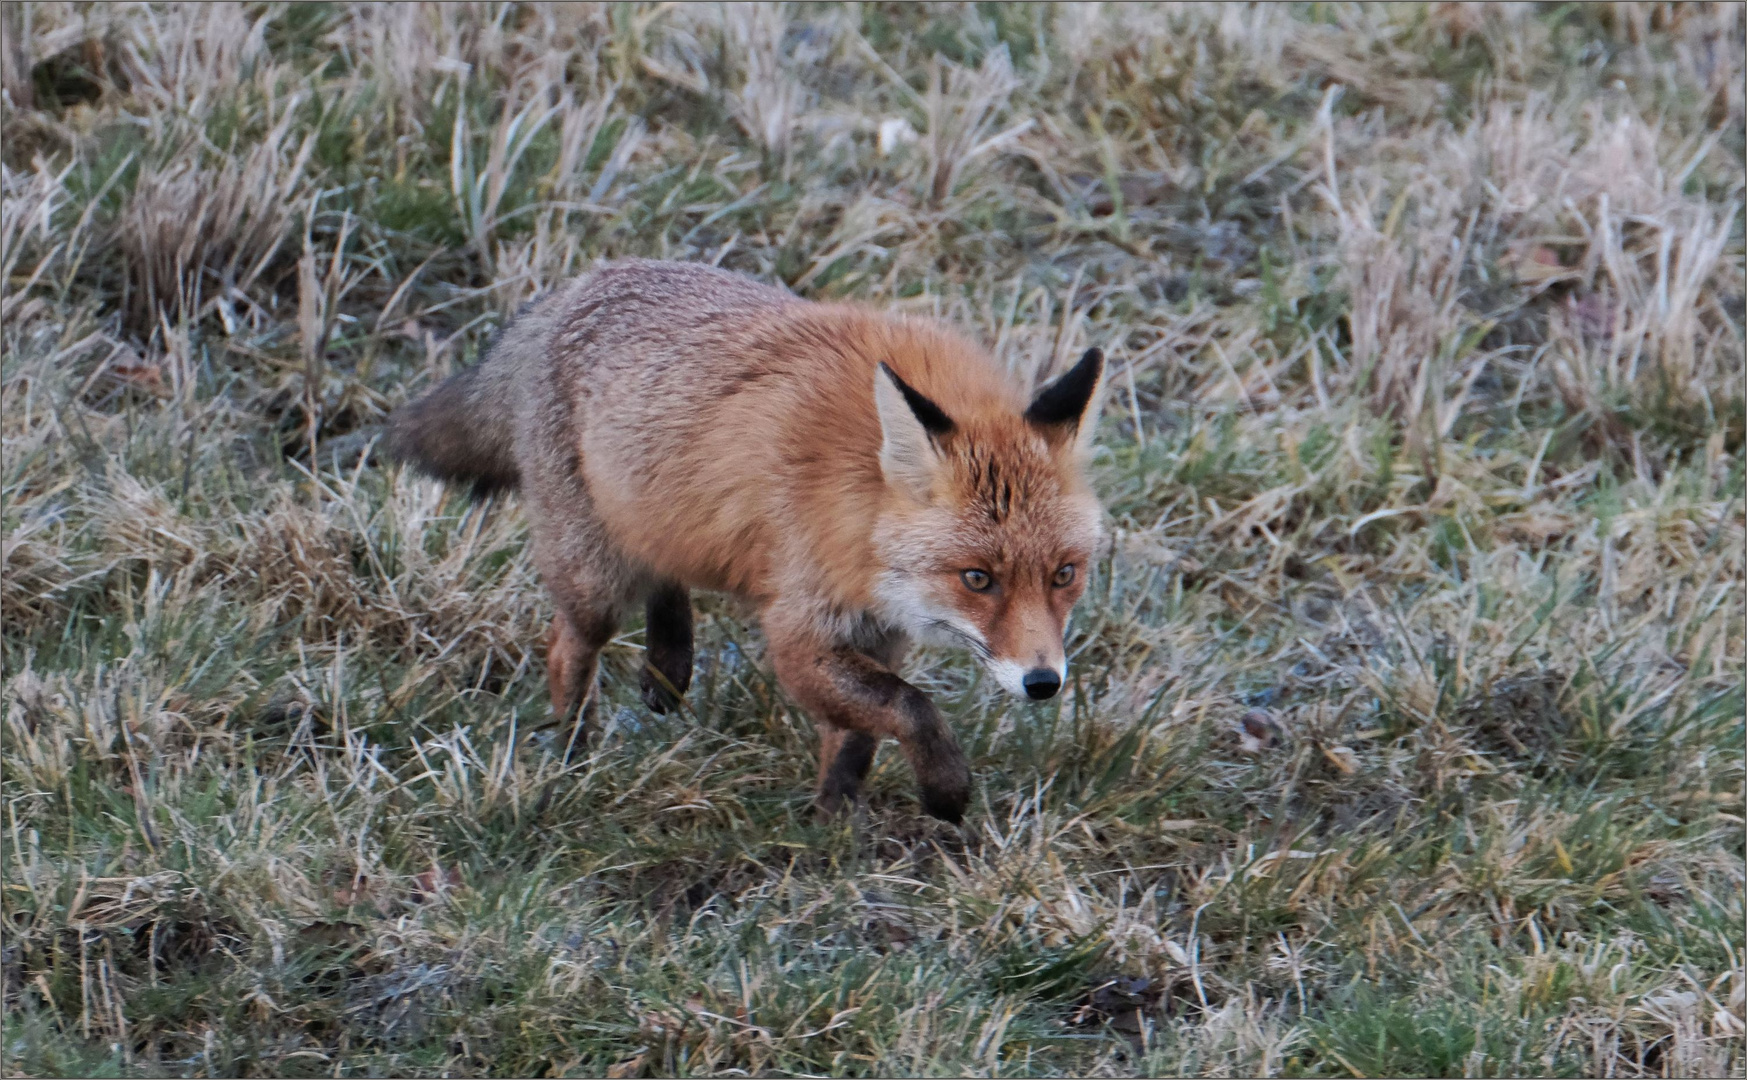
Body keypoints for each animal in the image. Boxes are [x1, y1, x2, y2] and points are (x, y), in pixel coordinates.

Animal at [393, 258, 1104, 814]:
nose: (1044, 683)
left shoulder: (881, 630)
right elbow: (911, 707)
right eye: (978, 578)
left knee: (664, 575)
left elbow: (856, 737)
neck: (857, 504)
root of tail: (574, 287)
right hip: (592, 579)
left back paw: (667, 668)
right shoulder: (799, 632)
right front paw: (945, 792)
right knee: (567, 647)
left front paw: (835, 823)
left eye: (1064, 575)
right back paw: (573, 753)